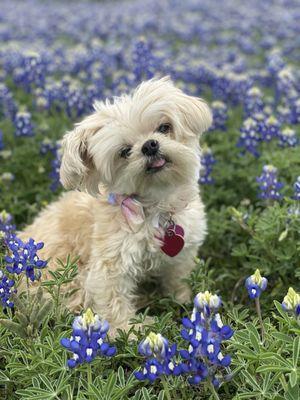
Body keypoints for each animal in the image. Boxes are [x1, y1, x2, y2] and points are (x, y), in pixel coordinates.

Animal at [20, 76, 211, 332]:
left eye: (164, 127)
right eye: (124, 151)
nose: (149, 145)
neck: (156, 205)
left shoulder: (183, 250)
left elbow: (178, 275)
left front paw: (182, 298)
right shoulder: (110, 264)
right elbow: (114, 301)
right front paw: (129, 331)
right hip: (63, 281)